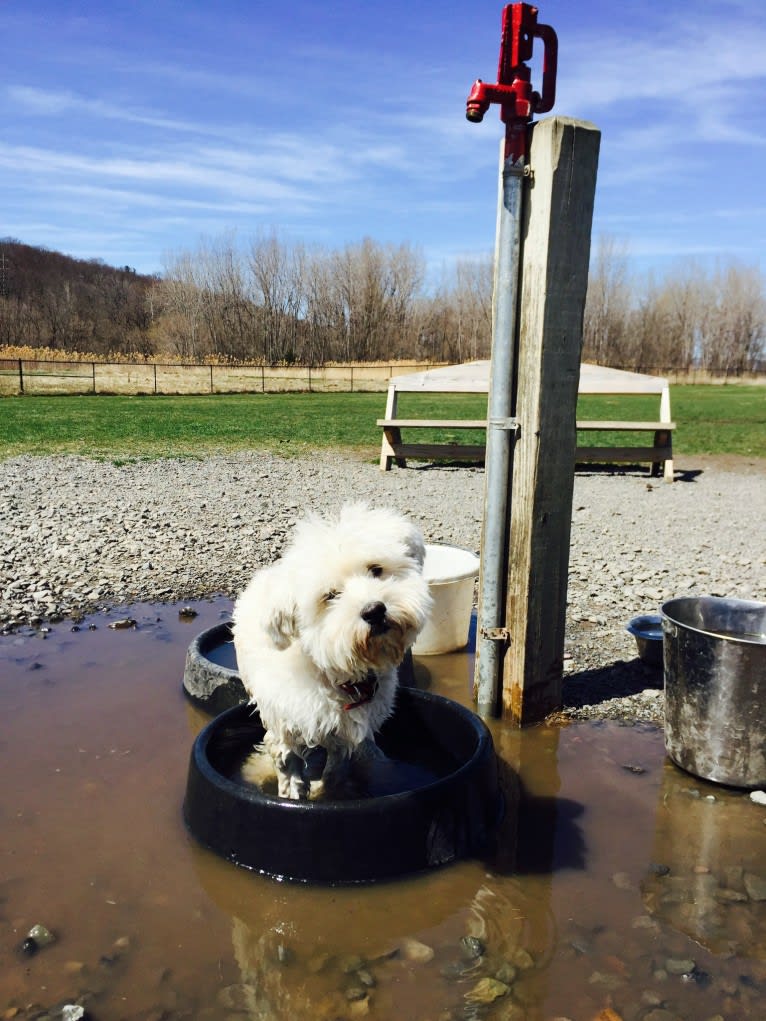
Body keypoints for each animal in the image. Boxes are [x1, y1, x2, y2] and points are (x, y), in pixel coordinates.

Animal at [233, 502, 433, 796]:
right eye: (330, 596)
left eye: (375, 569)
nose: (374, 610)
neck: (337, 672)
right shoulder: (285, 728)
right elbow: (289, 769)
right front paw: (296, 795)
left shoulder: (344, 735)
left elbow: (336, 769)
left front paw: (327, 790)